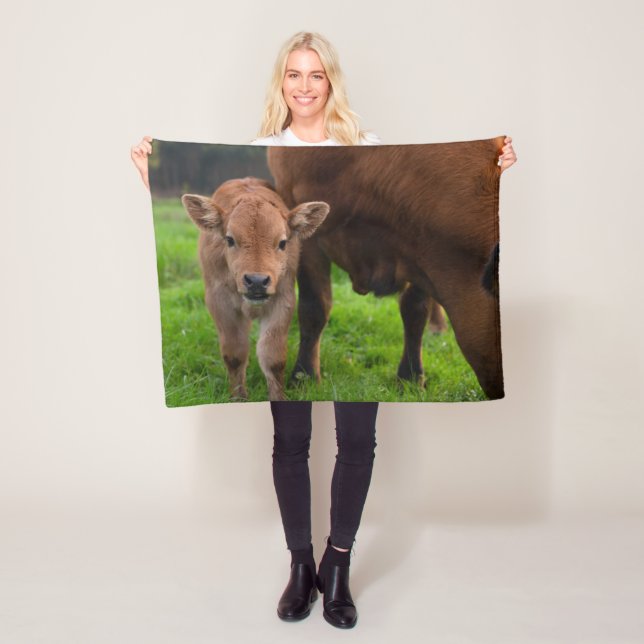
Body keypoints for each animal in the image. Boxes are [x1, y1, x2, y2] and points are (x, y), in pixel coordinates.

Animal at [181, 177, 329, 401]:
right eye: (230, 239)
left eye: (282, 242)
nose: (257, 281)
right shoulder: (219, 303)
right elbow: (235, 354)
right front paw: (239, 398)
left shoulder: (283, 300)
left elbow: (273, 358)